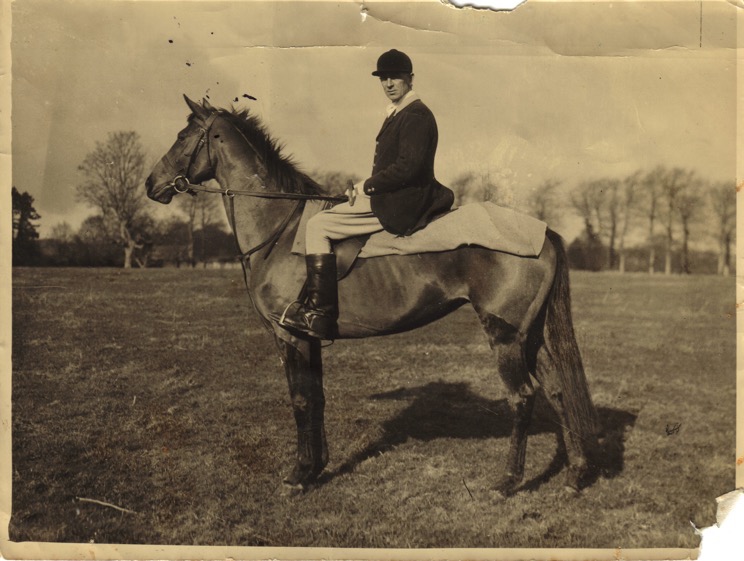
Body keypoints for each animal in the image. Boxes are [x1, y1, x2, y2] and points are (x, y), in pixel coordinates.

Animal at [144, 96, 600, 494]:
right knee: (558, 391)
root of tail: (542, 230)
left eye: (183, 137)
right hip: (530, 335)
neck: (282, 229)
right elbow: (317, 397)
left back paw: (507, 481)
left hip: (504, 336)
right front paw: (317, 467)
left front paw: (298, 476)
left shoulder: (289, 334)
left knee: (522, 398)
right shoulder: (310, 336)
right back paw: (575, 474)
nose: (151, 185)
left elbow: (300, 400)